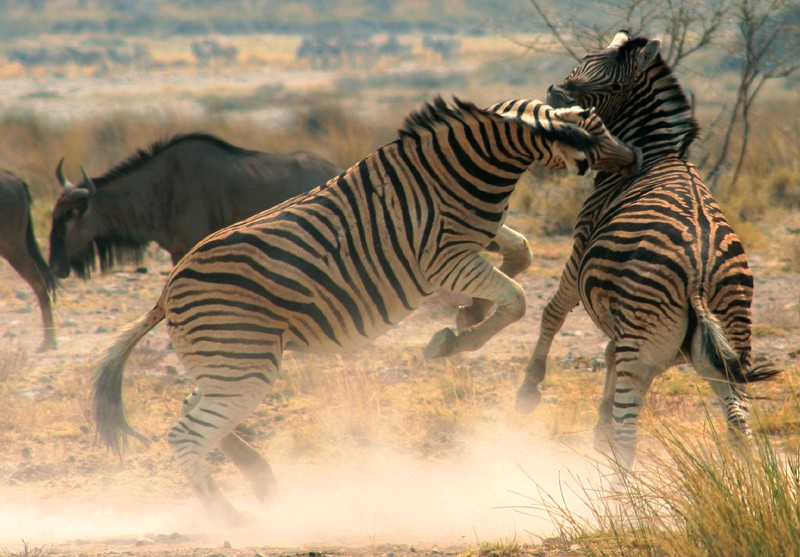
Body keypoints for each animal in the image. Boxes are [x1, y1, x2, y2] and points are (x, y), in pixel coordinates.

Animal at [95, 96, 644, 524]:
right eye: (595, 129)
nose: (637, 156)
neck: (466, 172)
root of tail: (167, 289)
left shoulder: (476, 242)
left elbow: (522, 254)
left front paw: (469, 312)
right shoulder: (444, 260)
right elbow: (516, 299)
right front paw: (453, 339)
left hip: (228, 361)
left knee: (195, 412)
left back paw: (262, 482)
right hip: (242, 363)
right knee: (186, 435)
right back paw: (230, 516)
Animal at [516, 31, 780, 470]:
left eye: (612, 87)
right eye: (584, 58)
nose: (555, 95)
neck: (658, 154)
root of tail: (699, 276)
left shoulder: (580, 246)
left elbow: (553, 311)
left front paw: (529, 387)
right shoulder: (636, 328)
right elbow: (607, 351)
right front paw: (599, 423)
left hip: (646, 347)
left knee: (630, 439)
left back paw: (619, 488)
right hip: (728, 350)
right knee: (739, 430)